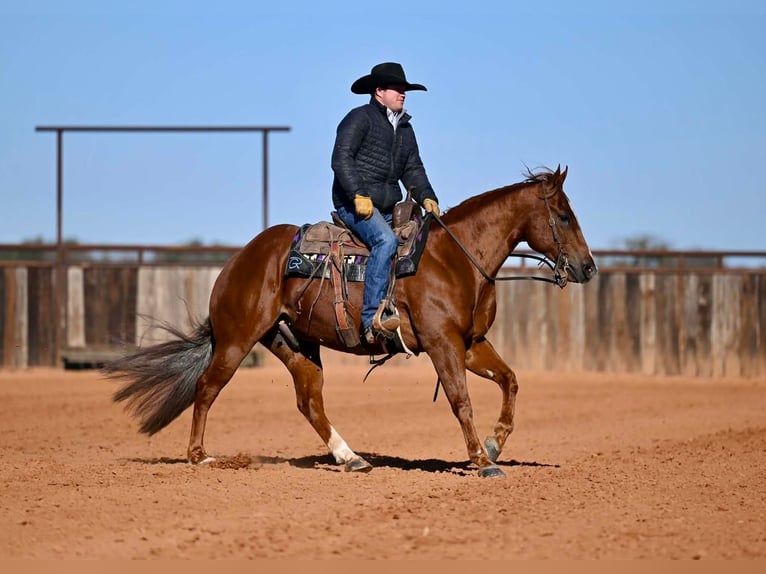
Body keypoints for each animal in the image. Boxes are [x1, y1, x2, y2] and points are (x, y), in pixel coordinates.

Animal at [103, 165, 597, 478]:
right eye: (563, 215)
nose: (588, 267)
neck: (456, 258)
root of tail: (239, 261)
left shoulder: (472, 343)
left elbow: (510, 381)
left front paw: (494, 445)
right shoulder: (443, 344)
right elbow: (461, 400)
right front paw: (482, 460)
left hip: (295, 345)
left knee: (309, 403)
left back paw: (350, 457)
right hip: (237, 339)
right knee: (207, 388)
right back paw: (199, 456)